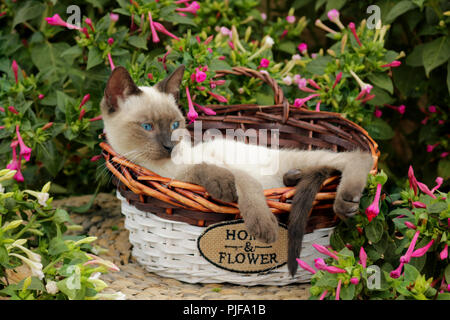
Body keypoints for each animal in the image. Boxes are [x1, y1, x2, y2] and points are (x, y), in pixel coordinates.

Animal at [100, 66, 374, 276]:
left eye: (175, 125)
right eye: (147, 127)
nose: (170, 145)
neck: (166, 166)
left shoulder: (214, 168)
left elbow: (238, 181)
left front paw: (264, 227)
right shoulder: (176, 178)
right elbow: (203, 170)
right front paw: (223, 186)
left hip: (306, 158)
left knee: (357, 157)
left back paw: (345, 202)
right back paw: (294, 180)